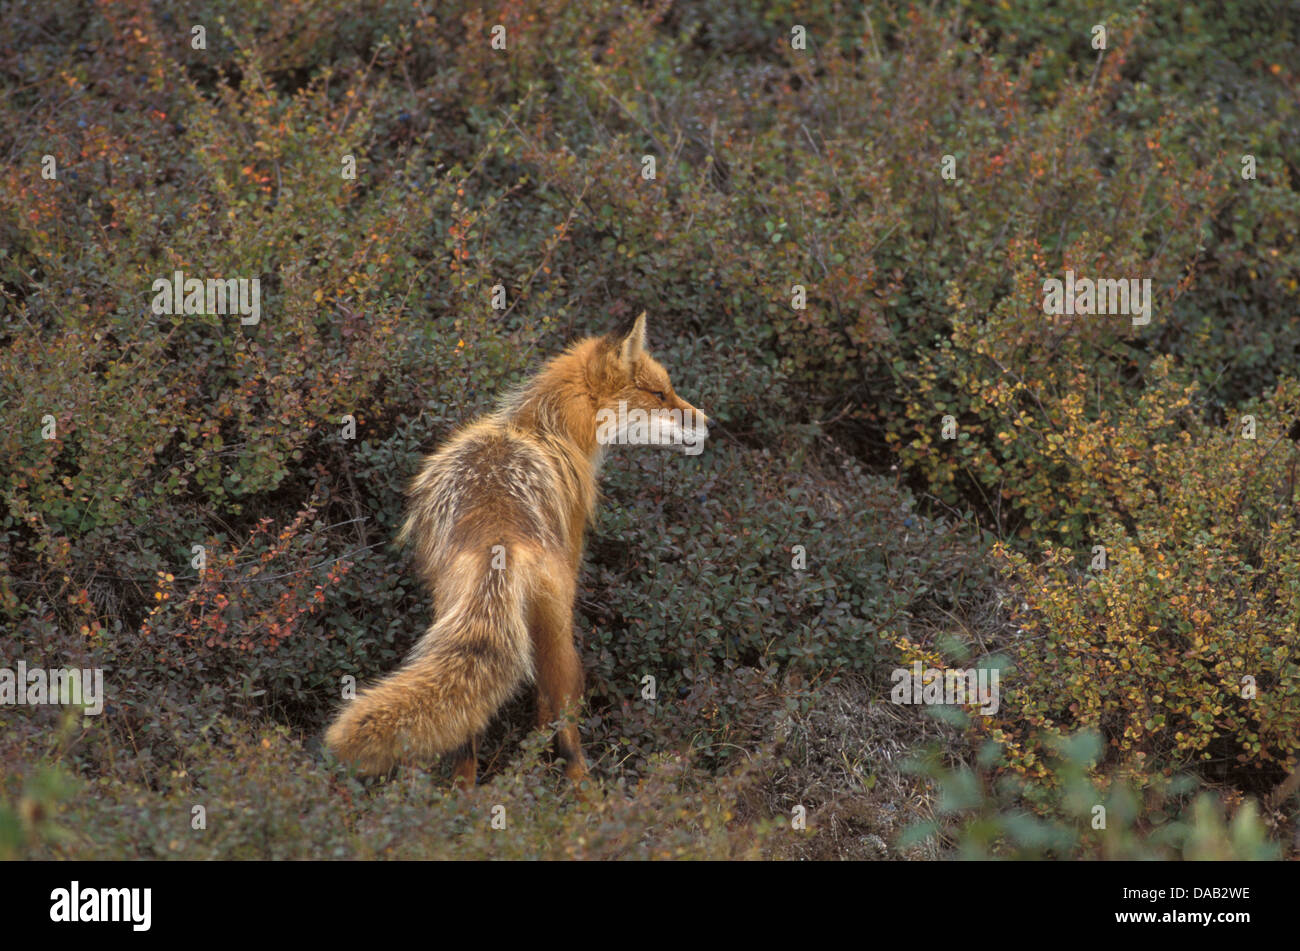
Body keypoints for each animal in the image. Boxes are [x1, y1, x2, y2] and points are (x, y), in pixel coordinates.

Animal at [325, 315, 712, 784]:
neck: (545, 431)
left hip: (455, 619)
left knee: (466, 747)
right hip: (562, 641)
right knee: (569, 740)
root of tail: (498, 541)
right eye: (660, 394)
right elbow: (546, 713)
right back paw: (582, 795)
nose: (707, 422)